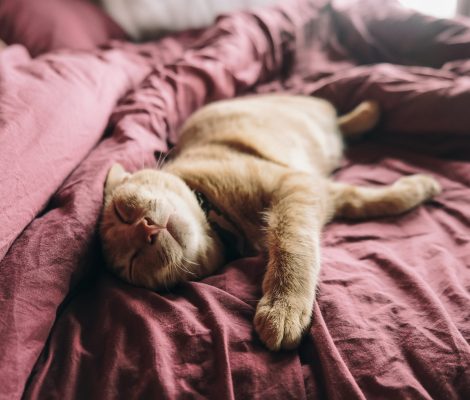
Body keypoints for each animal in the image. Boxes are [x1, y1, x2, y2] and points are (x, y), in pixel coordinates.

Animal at [100, 94, 440, 350]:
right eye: (133, 262)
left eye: (122, 212)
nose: (145, 229)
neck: (218, 216)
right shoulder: (320, 192)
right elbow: (370, 200)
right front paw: (420, 188)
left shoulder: (296, 187)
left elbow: (293, 244)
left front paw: (284, 306)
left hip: (305, 112)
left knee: (334, 117)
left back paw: (369, 110)